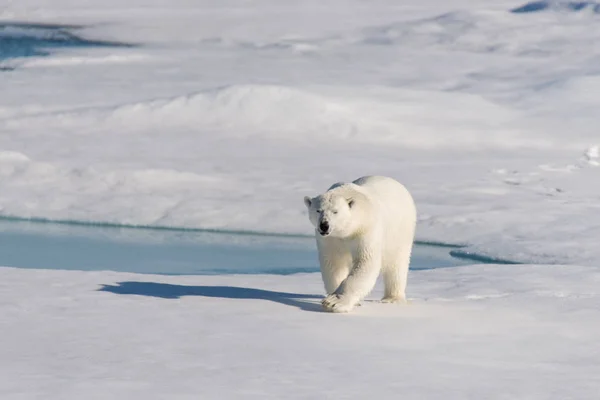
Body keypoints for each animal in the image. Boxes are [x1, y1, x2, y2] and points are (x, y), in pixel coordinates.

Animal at [304, 175, 418, 312]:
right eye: (318, 210)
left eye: (335, 211)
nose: (324, 225)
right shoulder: (331, 239)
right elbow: (333, 264)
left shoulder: (366, 230)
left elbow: (365, 261)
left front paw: (334, 302)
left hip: (400, 230)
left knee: (397, 262)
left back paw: (392, 298)